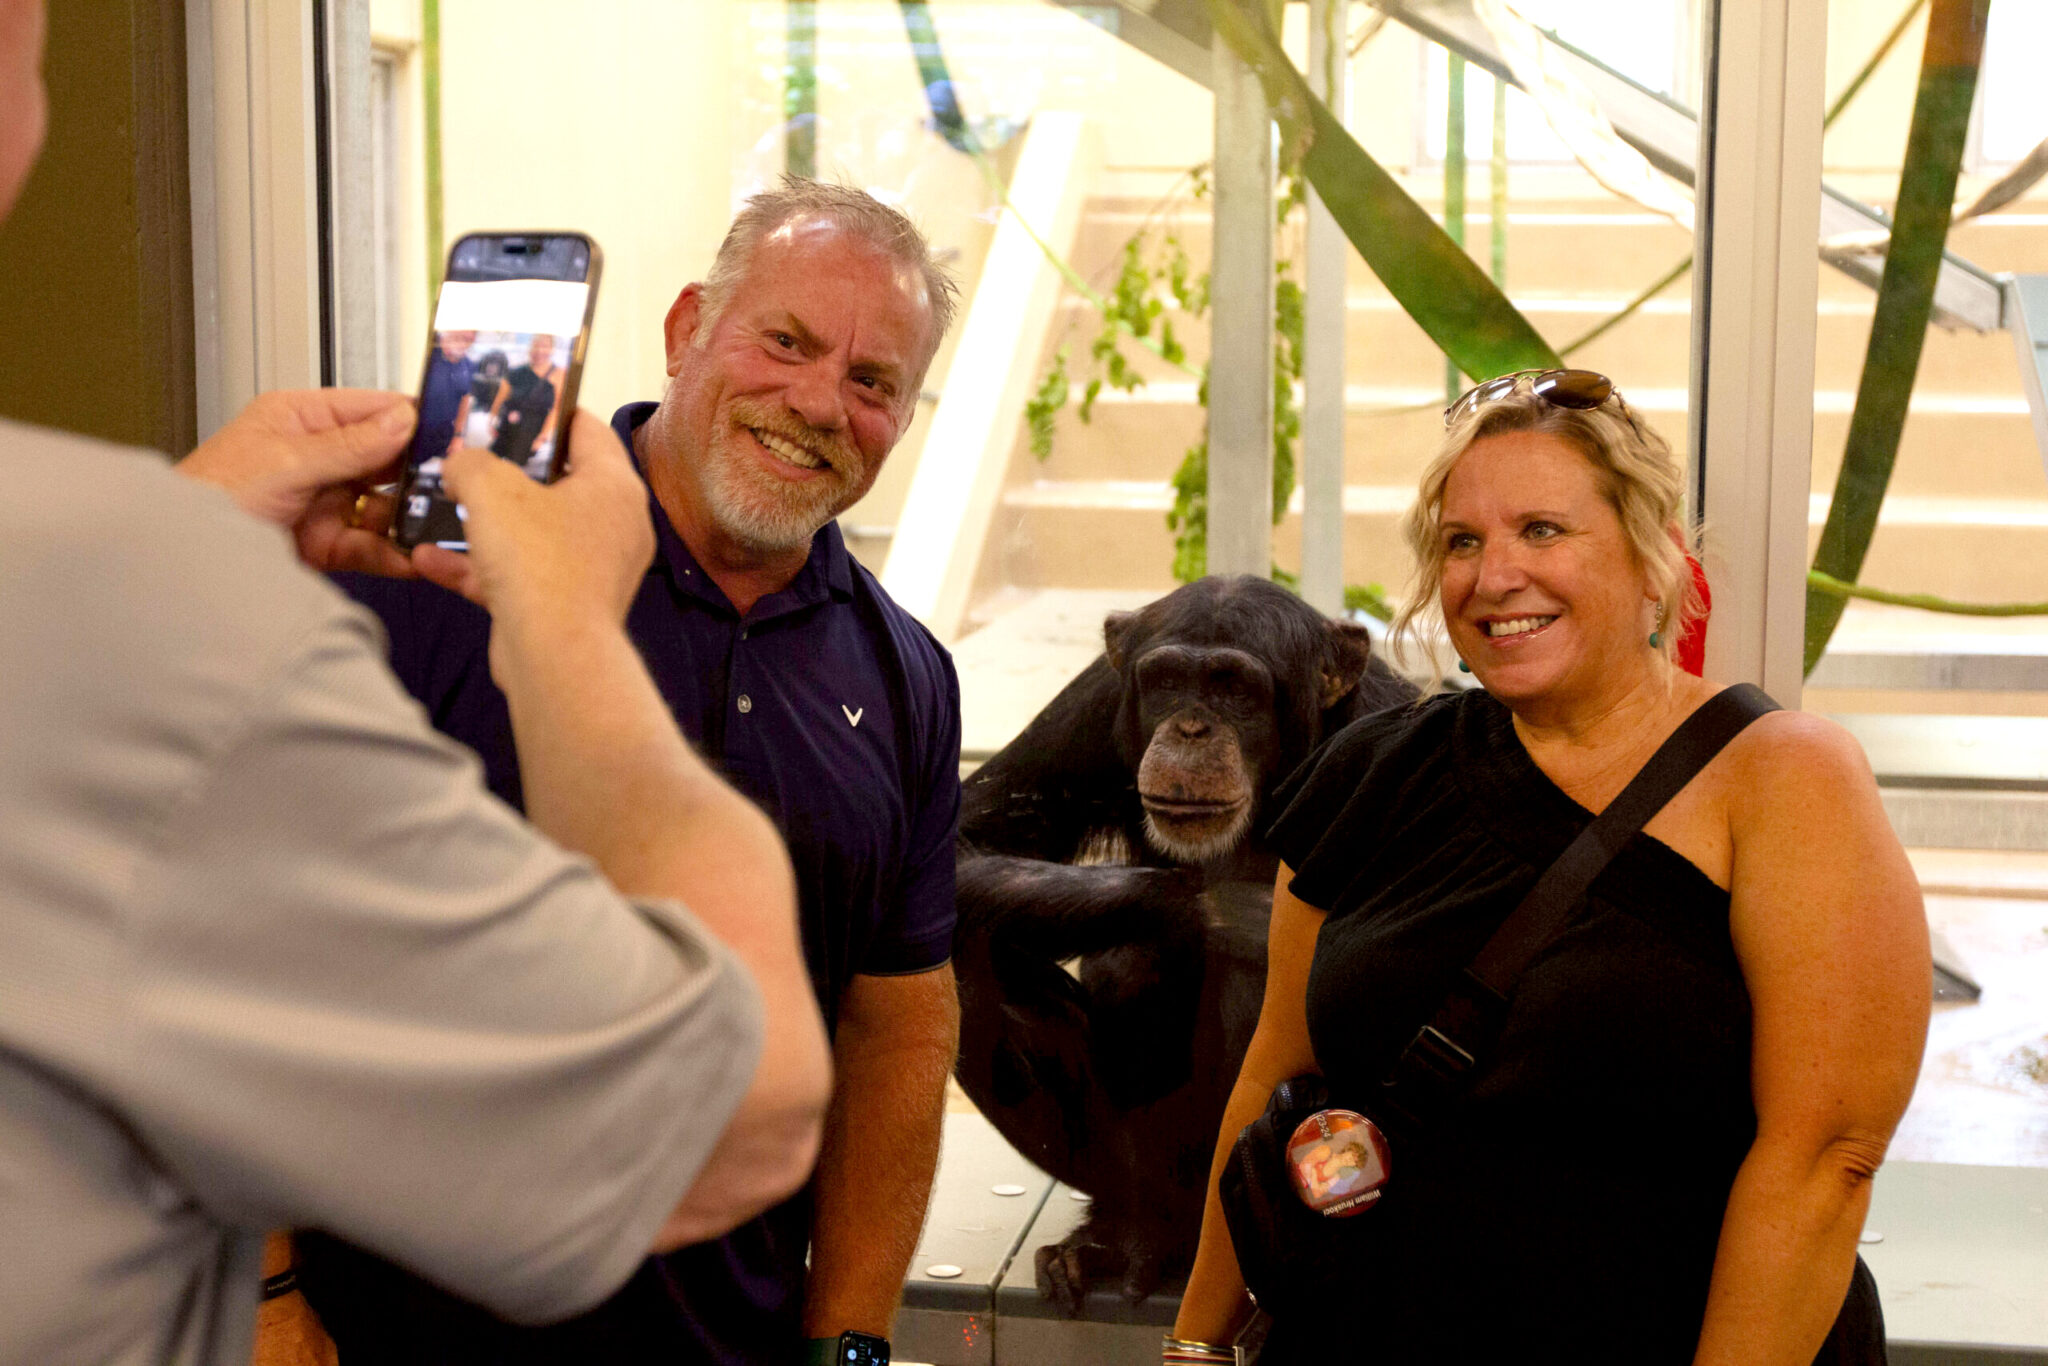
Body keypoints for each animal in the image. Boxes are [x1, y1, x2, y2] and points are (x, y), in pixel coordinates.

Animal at [950, 573, 1417, 1310]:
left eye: (1233, 687)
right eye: (1169, 681)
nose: (1191, 726)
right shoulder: (1093, 701)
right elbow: (967, 842)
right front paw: (1204, 908)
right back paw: (1126, 1237)